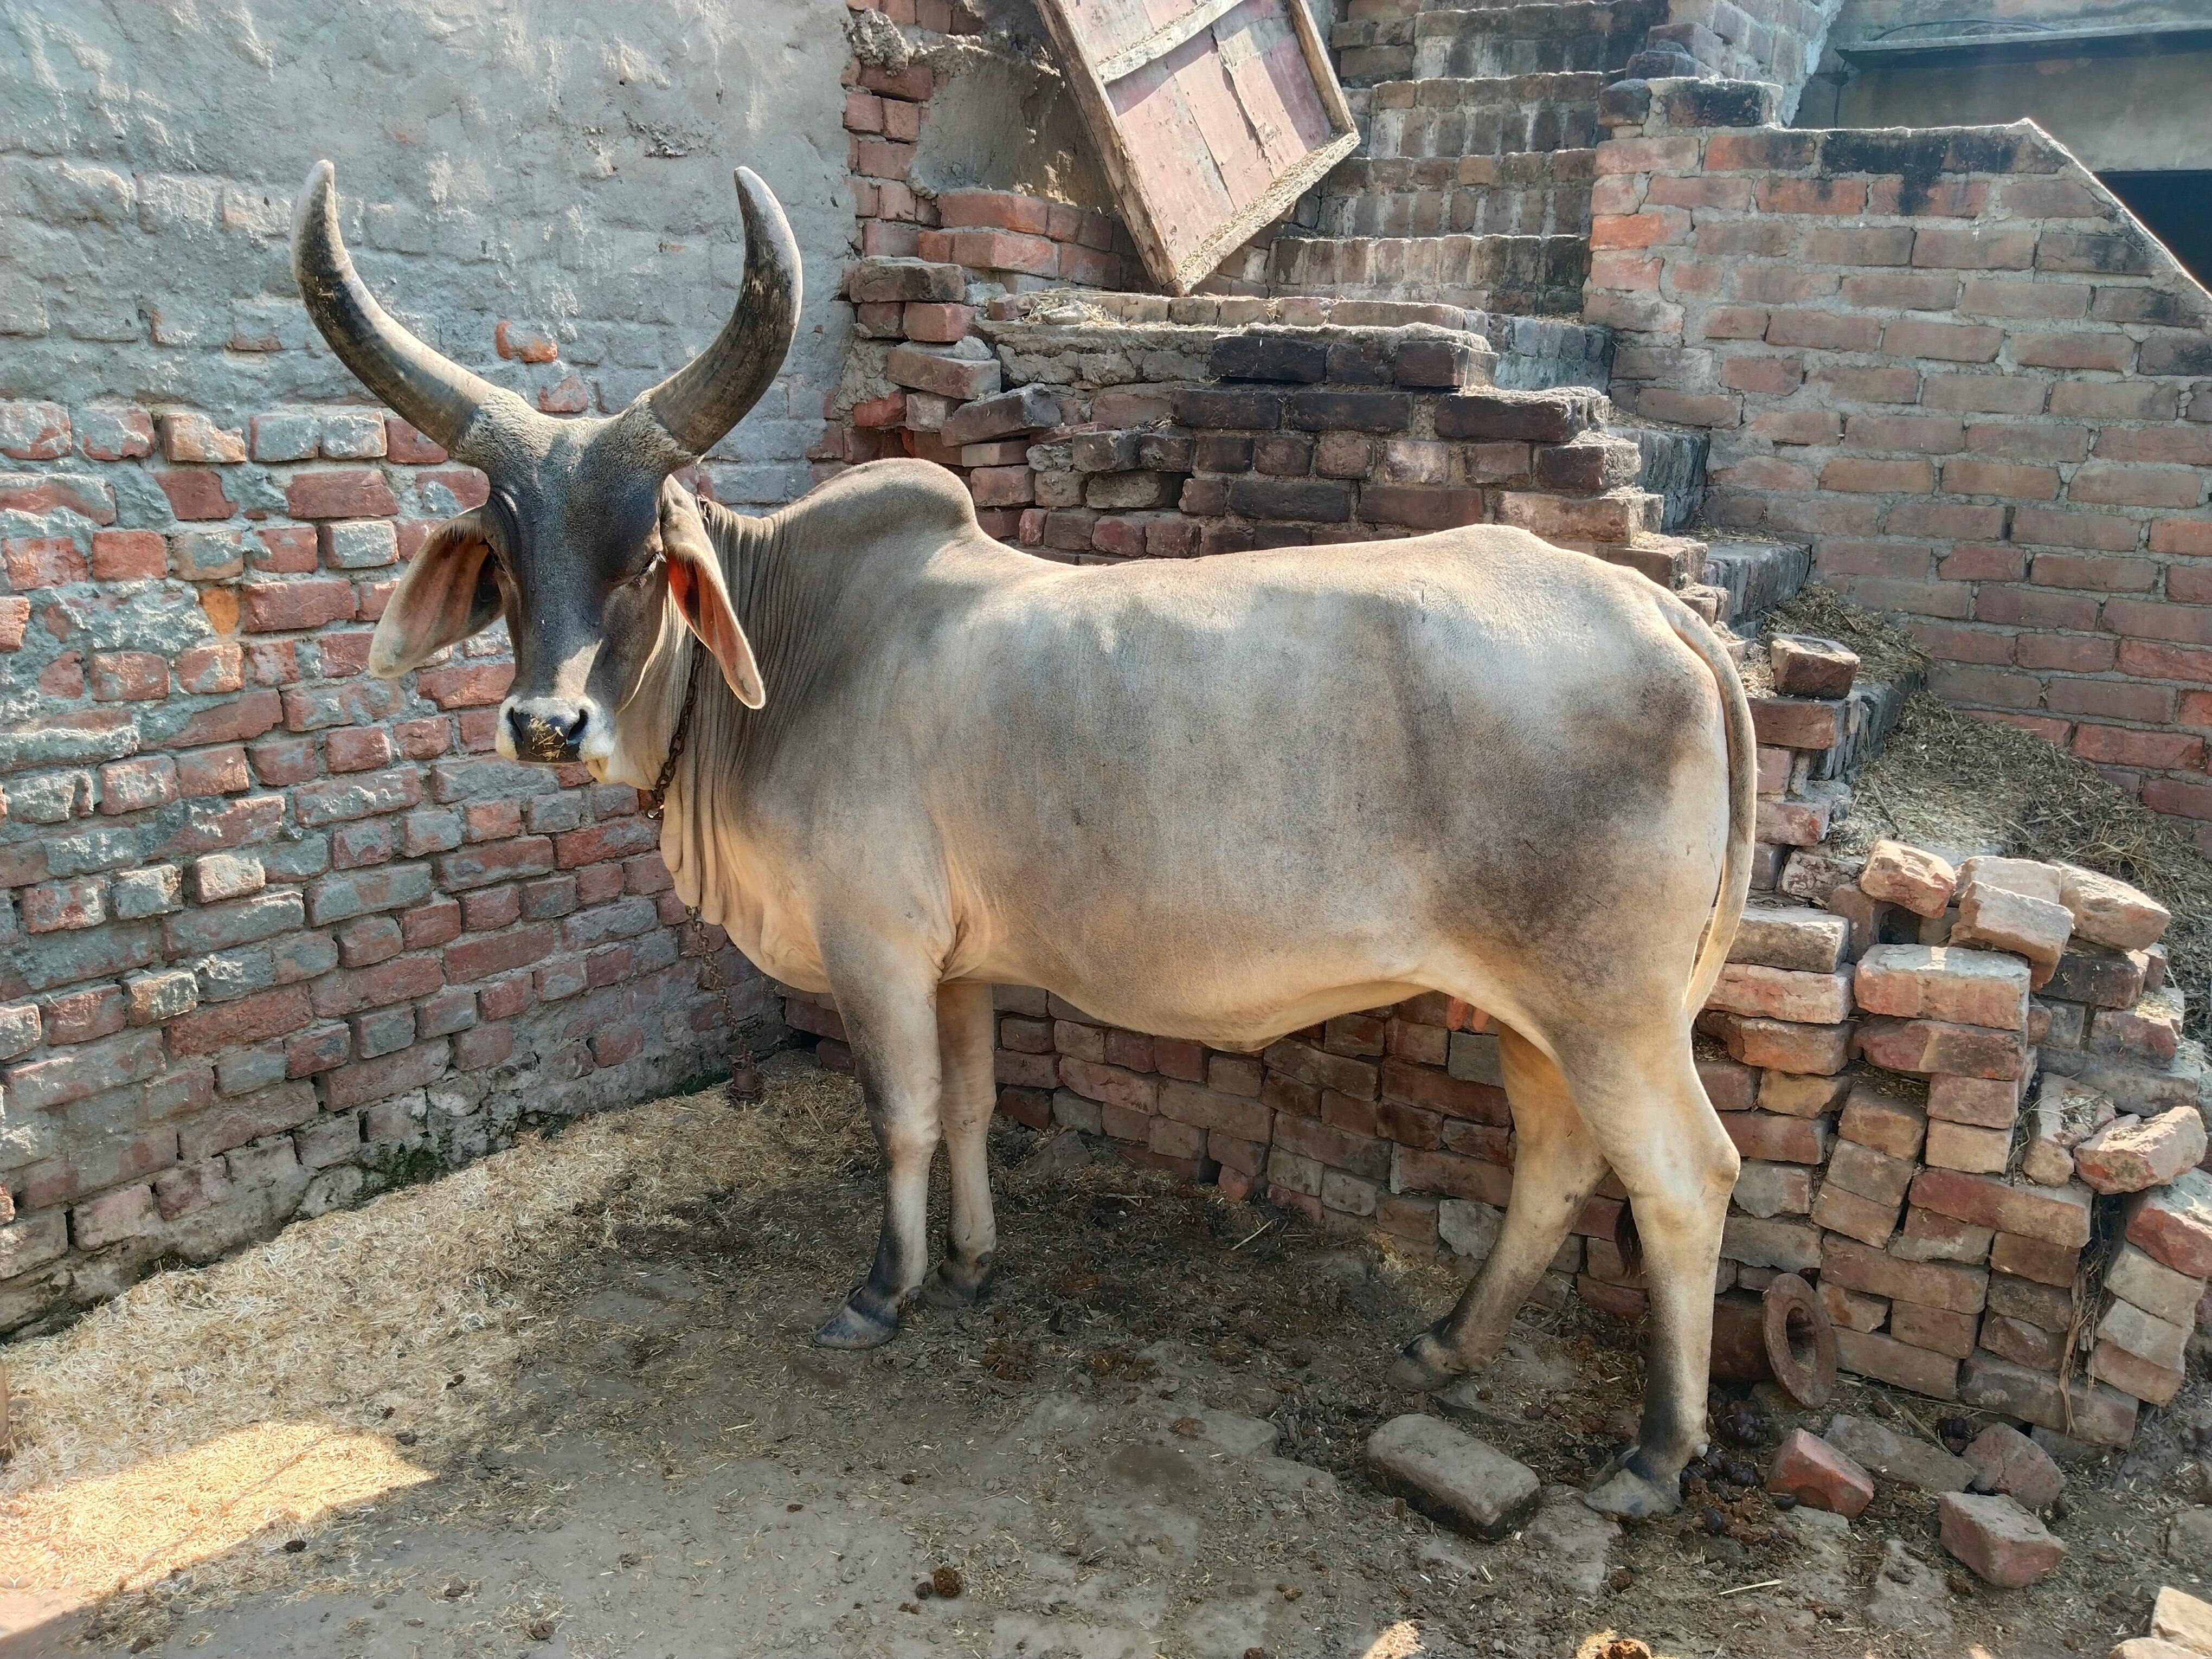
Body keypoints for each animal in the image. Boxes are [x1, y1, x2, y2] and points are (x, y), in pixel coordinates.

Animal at [291, 160, 1754, 1518]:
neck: (793, 658)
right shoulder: (961, 967)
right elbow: (974, 1107)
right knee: (1558, 1162)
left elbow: (899, 1117)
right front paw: (977, 1262)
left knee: (1685, 1180)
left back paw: (1651, 1455)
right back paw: (1451, 1344)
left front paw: (885, 1288)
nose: (547, 723)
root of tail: (1657, 611)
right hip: (1532, 1011)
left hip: (1612, 1012)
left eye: (647, 557)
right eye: (501, 556)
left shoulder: (875, 949)